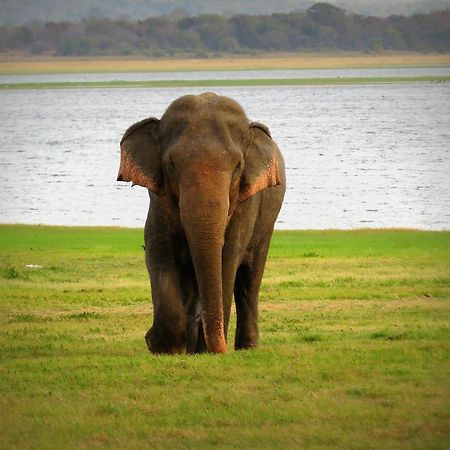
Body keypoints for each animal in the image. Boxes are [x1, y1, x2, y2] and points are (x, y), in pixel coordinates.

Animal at [116, 93, 284, 354]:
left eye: (237, 166)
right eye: (171, 164)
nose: (221, 348)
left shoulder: (245, 205)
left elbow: (227, 260)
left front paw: (202, 349)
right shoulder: (158, 202)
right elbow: (159, 253)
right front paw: (165, 347)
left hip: (266, 227)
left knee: (249, 281)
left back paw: (245, 347)